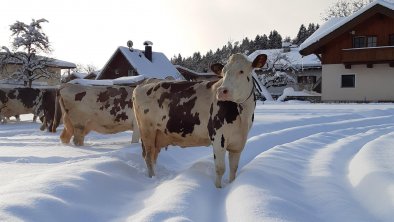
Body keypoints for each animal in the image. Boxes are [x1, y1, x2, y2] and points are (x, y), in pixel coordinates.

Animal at [133, 53, 268, 187]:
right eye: (223, 72)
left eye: (241, 71)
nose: (222, 91)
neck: (242, 115)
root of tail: (146, 82)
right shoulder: (218, 138)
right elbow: (220, 168)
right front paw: (217, 189)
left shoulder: (238, 142)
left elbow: (234, 168)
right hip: (147, 131)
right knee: (148, 156)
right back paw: (152, 178)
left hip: (158, 135)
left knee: (153, 156)